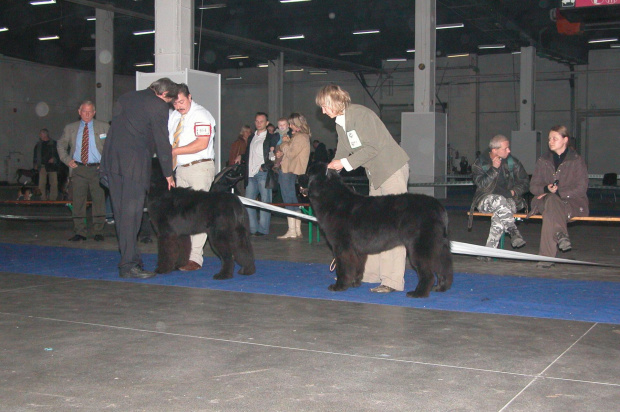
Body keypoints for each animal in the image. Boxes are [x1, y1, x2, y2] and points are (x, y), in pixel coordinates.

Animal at [306, 163, 456, 298]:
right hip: (438, 245)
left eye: (307, 173)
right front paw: (354, 282)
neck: (333, 198)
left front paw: (340, 286)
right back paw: (441, 287)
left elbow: (343, 267)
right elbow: (357, 265)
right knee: (444, 266)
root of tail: (439, 207)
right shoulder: (356, 249)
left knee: (428, 273)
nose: (300, 176)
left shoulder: (342, 246)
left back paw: (418, 293)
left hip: (420, 247)